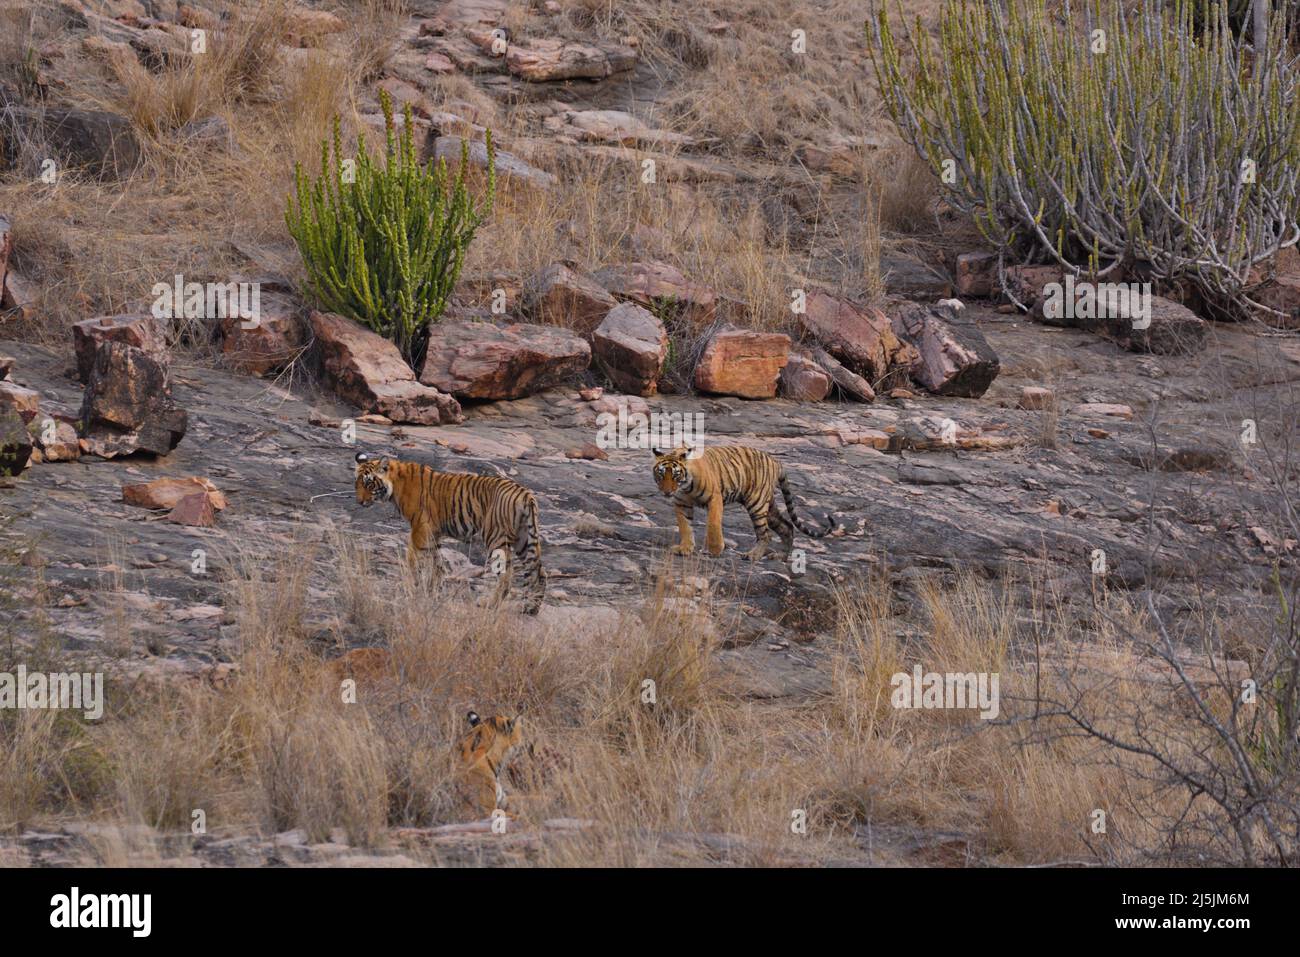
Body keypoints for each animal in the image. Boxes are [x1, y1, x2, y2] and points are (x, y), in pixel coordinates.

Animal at [353, 455, 546, 616]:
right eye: (357, 484)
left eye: (369, 484)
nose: (359, 502)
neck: (395, 483)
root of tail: (525, 494)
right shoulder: (433, 532)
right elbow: (436, 563)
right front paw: (433, 590)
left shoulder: (420, 528)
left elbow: (413, 559)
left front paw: (411, 585)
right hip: (524, 539)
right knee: (538, 571)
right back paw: (530, 608)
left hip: (495, 537)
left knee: (507, 575)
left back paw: (490, 604)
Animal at [650, 447, 832, 561]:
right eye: (661, 474)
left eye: (675, 475)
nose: (667, 492)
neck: (686, 486)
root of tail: (775, 461)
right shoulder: (682, 503)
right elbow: (685, 527)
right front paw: (685, 549)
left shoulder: (714, 499)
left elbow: (713, 523)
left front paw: (714, 550)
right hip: (768, 506)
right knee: (786, 526)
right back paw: (780, 557)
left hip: (757, 503)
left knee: (766, 534)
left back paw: (753, 556)